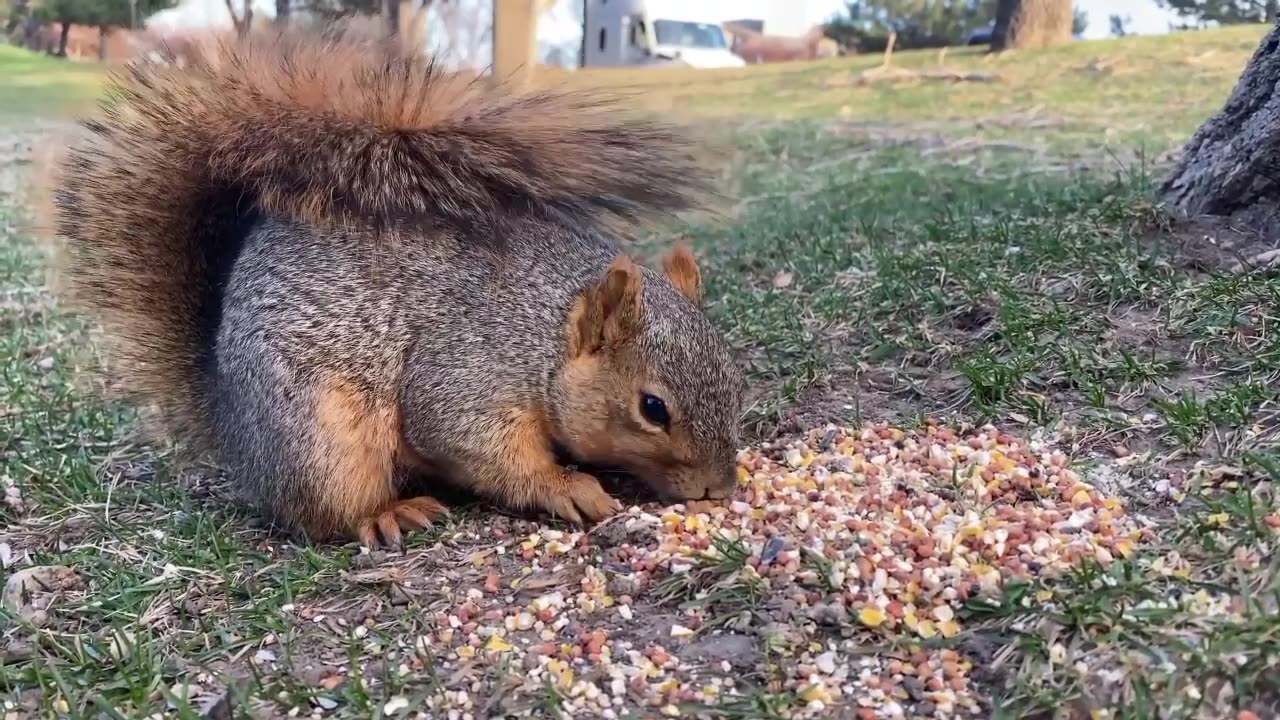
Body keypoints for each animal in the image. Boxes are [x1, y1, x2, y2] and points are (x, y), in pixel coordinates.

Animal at [47, 26, 747, 543]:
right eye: (652, 408)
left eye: (736, 380)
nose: (719, 487)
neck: (546, 327)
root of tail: (229, 422)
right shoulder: (466, 368)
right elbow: (476, 444)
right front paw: (567, 487)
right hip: (318, 441)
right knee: (322, 514)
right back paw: (386, 513)